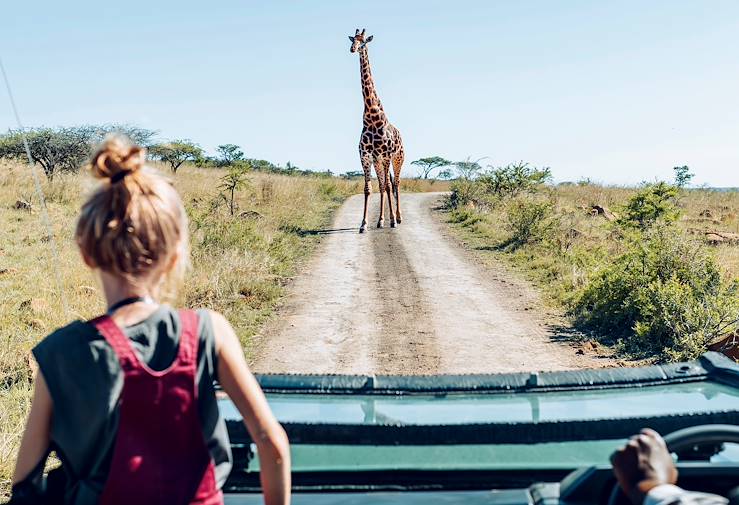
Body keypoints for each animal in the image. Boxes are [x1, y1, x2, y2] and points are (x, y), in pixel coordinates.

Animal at [352, 27, 408, 232]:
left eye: (364, 41)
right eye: (352, 40)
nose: (353, 49)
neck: (372, 116)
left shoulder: (386, 155)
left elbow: (389, 186)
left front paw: (392, 220)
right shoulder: (366, 156)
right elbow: (369, 188)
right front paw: (364, 224)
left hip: (398, 158)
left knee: (395, 183)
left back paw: (397, 218)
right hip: (378, 161)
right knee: (384, 184)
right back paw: (380, 220)